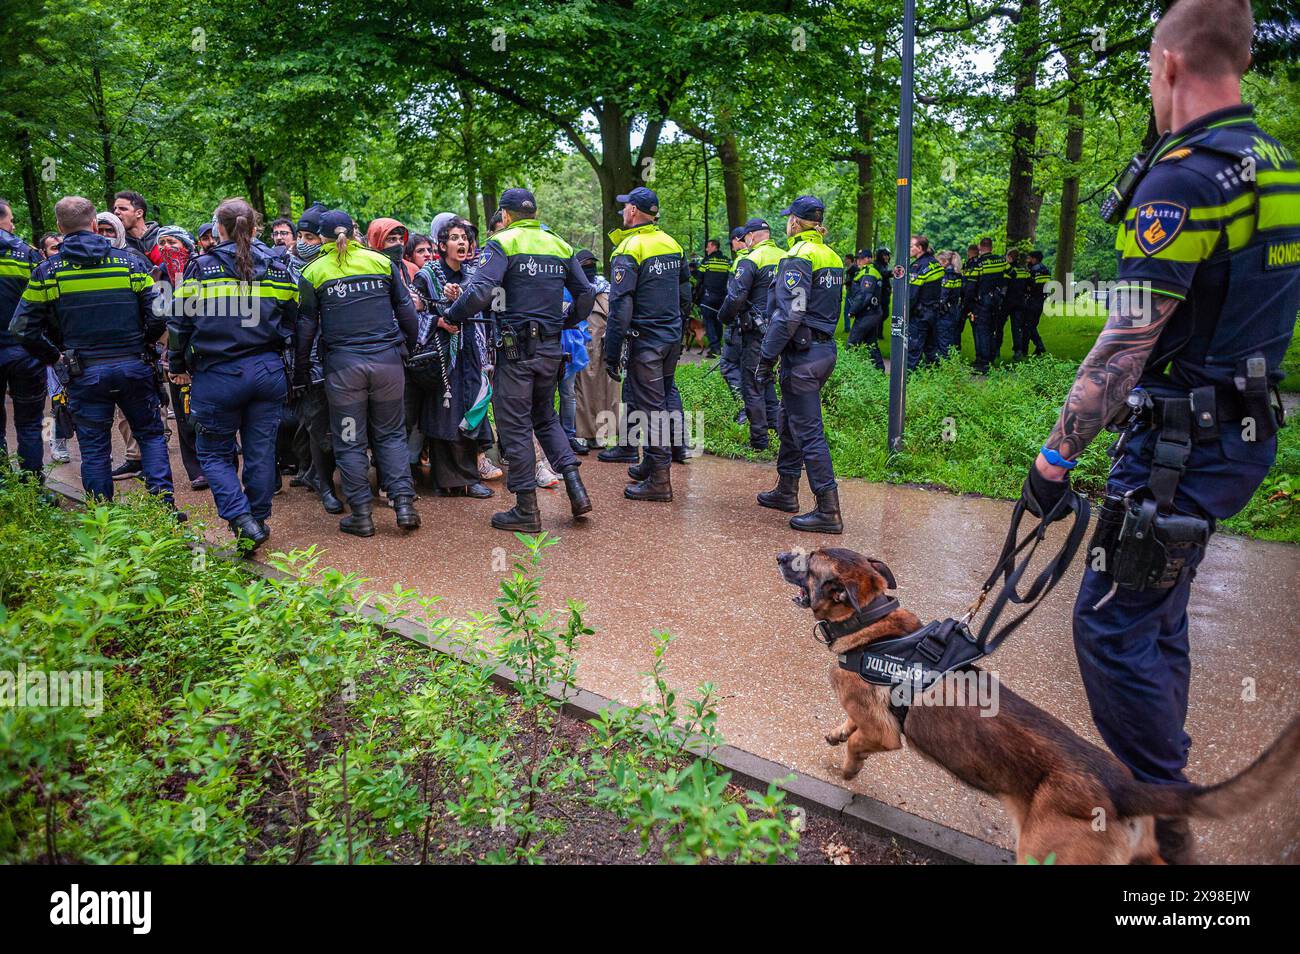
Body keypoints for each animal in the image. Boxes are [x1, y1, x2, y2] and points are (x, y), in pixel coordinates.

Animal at [774, 545, 1294, 868]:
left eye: (809, 561)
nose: (781, 554)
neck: (875, 626)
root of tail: (1124, 788)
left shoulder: (884, 734)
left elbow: (860, 744)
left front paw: (848, 769)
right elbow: (849, 724)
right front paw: (837, 733)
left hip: (1046, 852)